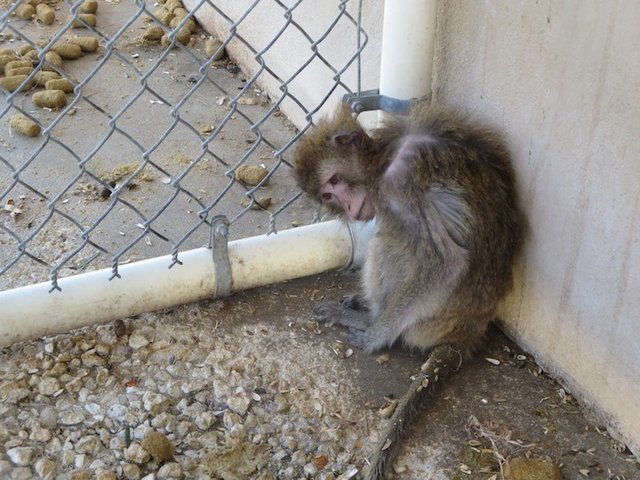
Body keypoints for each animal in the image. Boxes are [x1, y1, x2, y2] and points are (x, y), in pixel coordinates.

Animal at [293, 101, 523, 479]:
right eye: (328, 193)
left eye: (336, 179)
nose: (347, 205)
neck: (382, 157)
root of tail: (467, 332)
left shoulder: (398, 184)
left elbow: (446, 262)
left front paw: (374, 335)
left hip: (429, 321)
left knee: (392, 238)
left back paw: (368, 320)